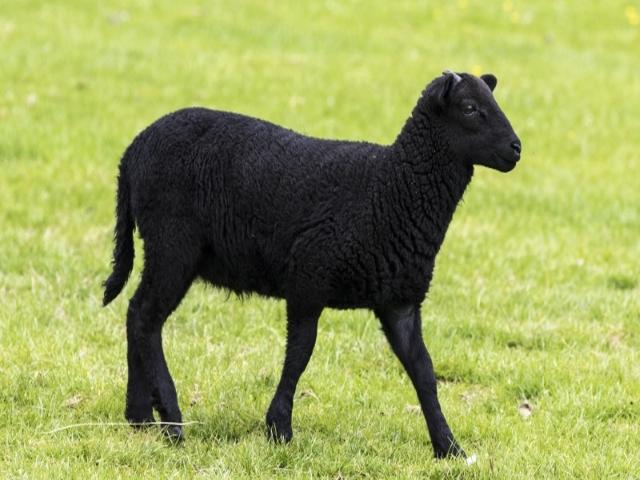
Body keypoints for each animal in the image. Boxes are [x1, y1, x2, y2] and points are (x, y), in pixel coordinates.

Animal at [103, 71, 521, 458]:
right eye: (470, 108)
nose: (516, 149)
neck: (388, 191)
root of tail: (132, 151)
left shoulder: (399, 301)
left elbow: (423, 371)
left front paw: (448, 447)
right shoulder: (307, 281)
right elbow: (300, 354)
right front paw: (279, 428)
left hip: (167, 249)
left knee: (136, 315)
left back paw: (139, 416)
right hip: (173, 244)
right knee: (146, 318)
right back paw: (171, 421)